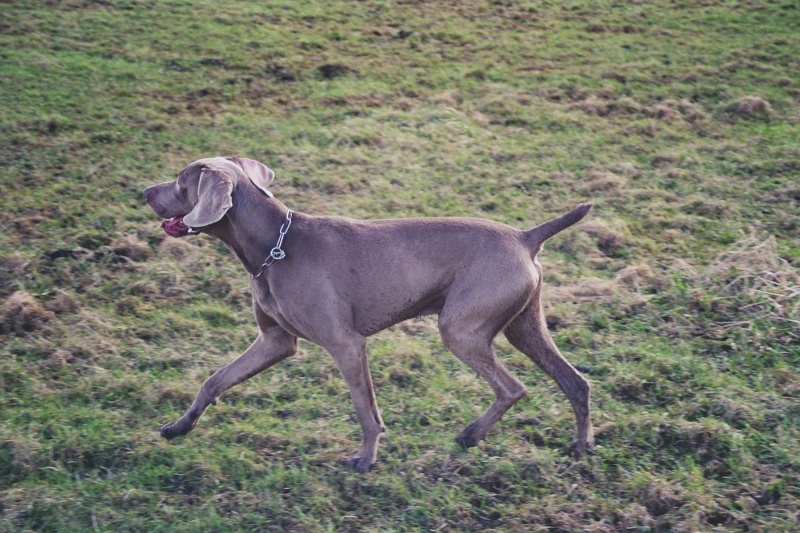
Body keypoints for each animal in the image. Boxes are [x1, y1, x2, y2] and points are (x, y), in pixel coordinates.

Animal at [142, 156, 592, 472]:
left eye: (181, 181)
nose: (144, 191)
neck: (275, 245)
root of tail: (525, 236)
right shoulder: (275, 342)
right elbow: (214, 380)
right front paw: (179, 427)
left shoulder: (346, 344)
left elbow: (365, 410)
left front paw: (366, 459)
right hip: (523, 326)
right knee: (577, 382)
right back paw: (581, 446)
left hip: (460, 329)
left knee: (513, 388)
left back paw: (471, 435)